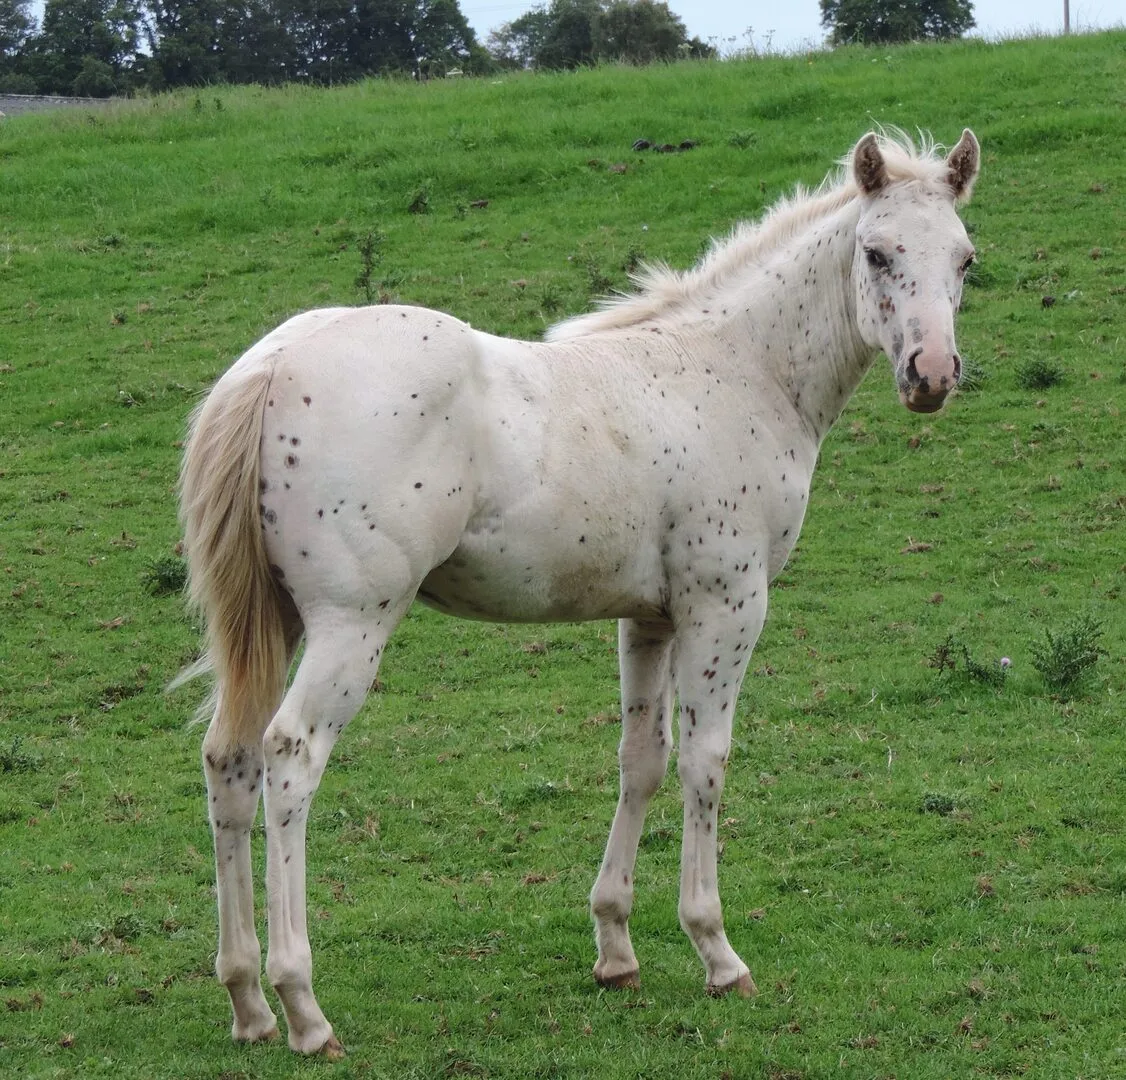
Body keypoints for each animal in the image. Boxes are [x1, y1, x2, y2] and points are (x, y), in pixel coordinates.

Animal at [179, 128, 980, 1057]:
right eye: (877, 252)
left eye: (965, 258)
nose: (932, 374)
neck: (739, 371)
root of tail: (270, 366)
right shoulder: (726, 605)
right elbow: (706, 762)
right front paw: (716, 951)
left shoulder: (649, 619)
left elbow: (643, 761)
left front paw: (616, 948)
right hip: (351, 625)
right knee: (290, 758)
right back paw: (303, 1006)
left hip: (270, 623)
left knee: (228, 761)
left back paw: (247, 1001)